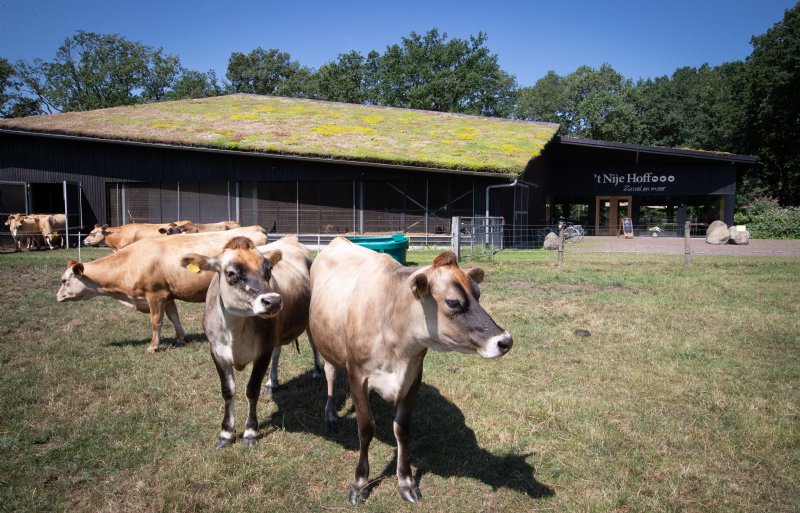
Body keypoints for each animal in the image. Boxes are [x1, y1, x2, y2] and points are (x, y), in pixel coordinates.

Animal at [57, 226, 268, 353]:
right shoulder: (168, 295)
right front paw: (180, 339)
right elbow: (174, 317)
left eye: (64, 280)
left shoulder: (155, 295)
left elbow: (156, 321)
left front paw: (152, 346)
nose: (57, 296)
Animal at [181, 235, 311, 448]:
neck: (234, 330)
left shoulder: (263, 350)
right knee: (277, 354)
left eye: (268, 270)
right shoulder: (216, 351)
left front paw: (251, 431)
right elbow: (228, 391)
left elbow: (251, 389)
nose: (273, 301)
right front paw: (226, 433)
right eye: (231, 273)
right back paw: (271, 383)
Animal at [308, 237, 513, 504]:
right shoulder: (357, 375)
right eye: (453, 302)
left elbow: (402, 429)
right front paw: (360, 482)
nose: (505, 340)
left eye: (478, 294)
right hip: (327, 343)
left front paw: (405, 481)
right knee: (331, 372)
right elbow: (366, 428)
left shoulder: (414, 376)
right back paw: (331, 414)